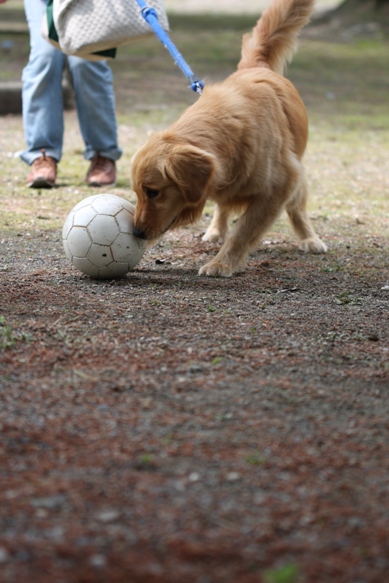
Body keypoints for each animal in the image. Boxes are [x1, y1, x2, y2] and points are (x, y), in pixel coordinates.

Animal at [130, 0, 324, 278]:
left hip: (295, 176)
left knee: (296, 209)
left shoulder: (280, 186)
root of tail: (255, 65)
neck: (227, 133)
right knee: (223, 207)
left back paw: (309, 238)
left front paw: (221, 264)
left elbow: (243, 231)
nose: (136, 232)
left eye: (153, 192)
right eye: (136, 192)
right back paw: (215, 230)